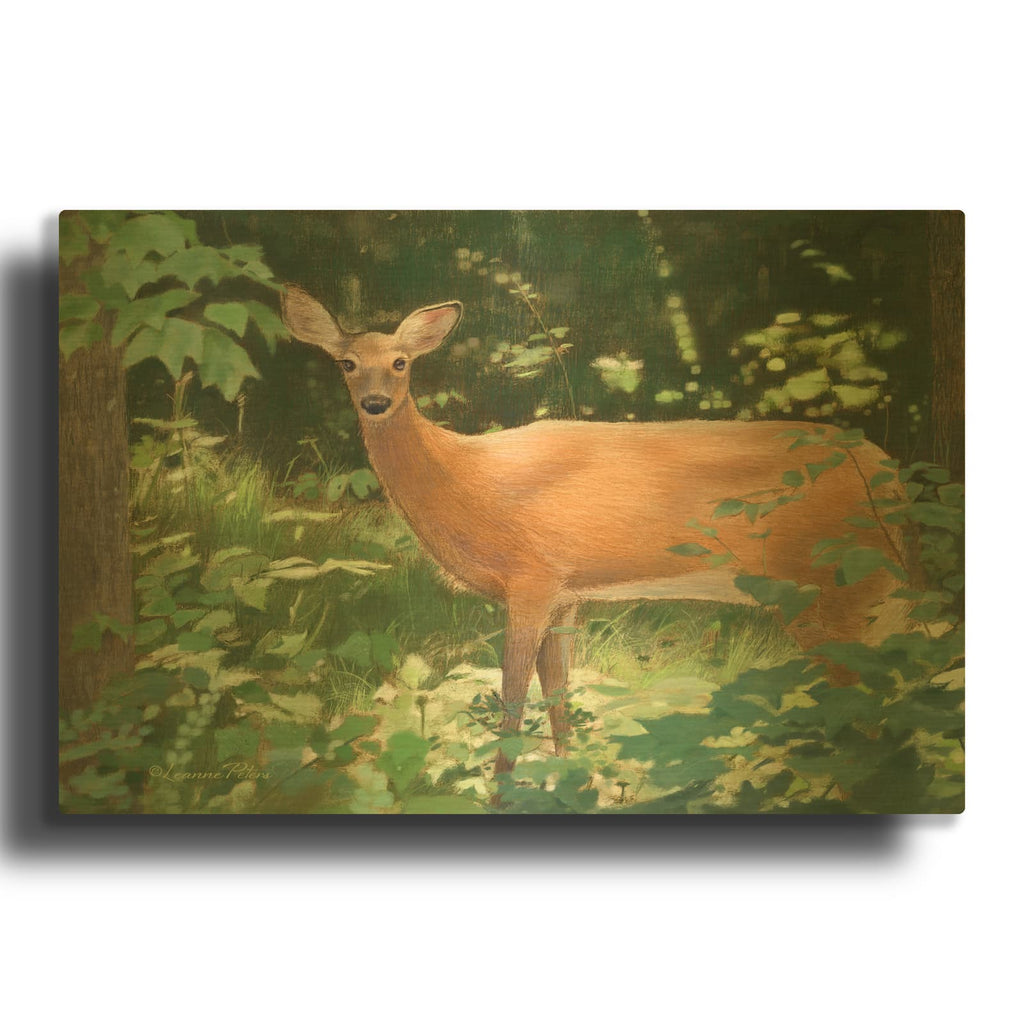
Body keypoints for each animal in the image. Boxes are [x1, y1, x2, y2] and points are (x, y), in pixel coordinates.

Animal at [281, 287, 911, 785]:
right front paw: (569, 777)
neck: (468, 479)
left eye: (401, 361)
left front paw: (501, 789)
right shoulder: (566, 593)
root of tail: (889, 475)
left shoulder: (531, 576)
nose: (376, 403)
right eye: (345, 363)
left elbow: (514, 699)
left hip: (829, 581)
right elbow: (558, 694)